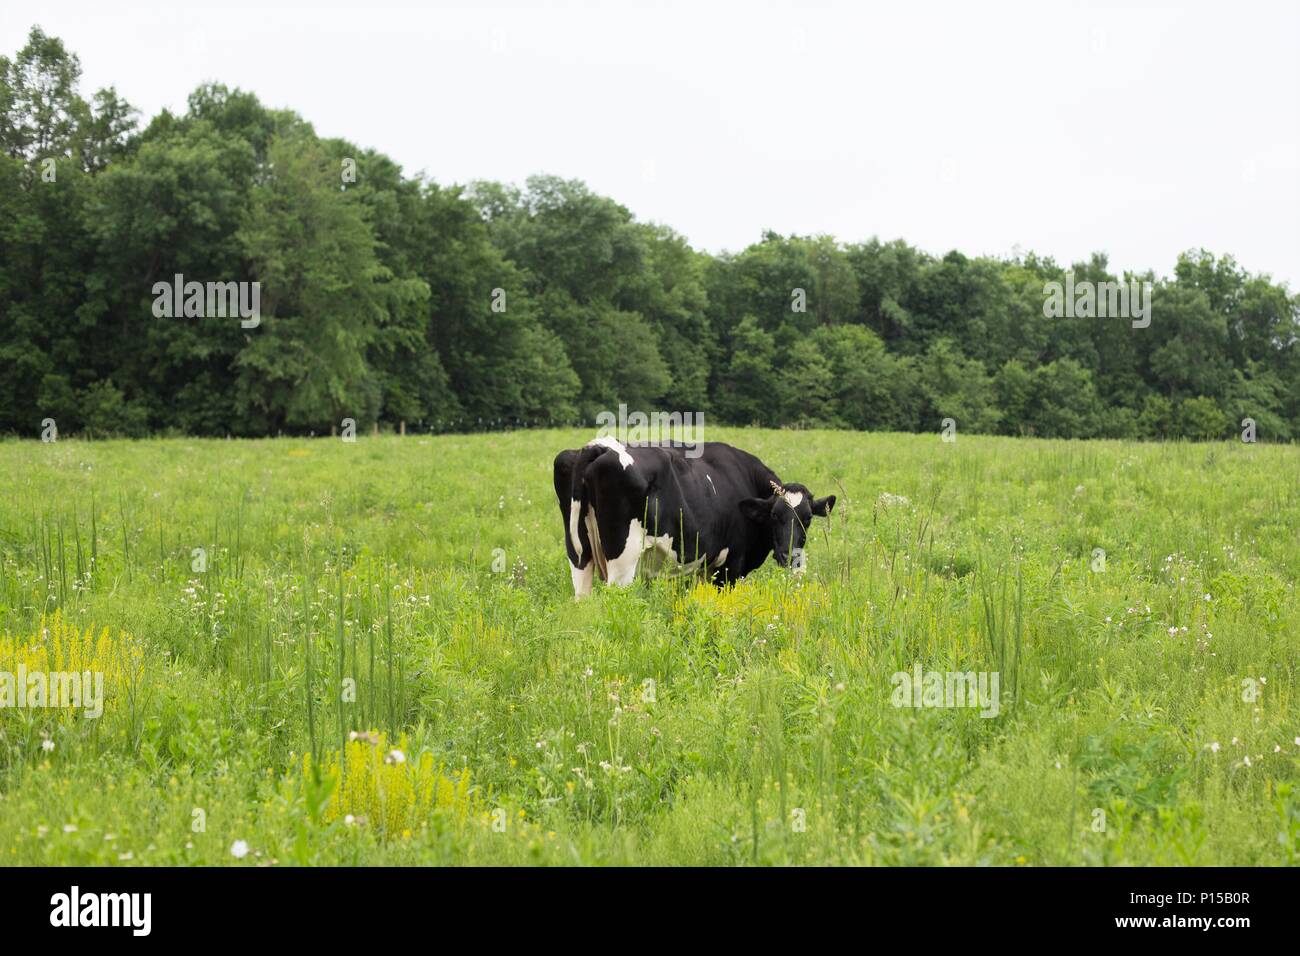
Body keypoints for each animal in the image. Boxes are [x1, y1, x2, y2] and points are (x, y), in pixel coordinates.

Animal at [553, 437, 836, 597]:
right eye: (775, 516)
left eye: (808, 518)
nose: (791, 556)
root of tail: (599, 446)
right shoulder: (730, 565)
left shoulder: (703, 568)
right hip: (624, 560)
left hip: (579, 555)